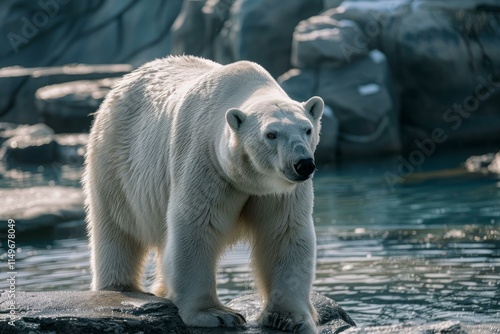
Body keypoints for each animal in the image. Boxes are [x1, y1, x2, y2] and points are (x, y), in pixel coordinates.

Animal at [82, 56, 324, 332]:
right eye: (271, 134)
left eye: (307, 129)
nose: (303, 164)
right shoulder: (205, 162)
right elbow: (197, 227)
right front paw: (216, 314)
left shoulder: (279, 190)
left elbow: (285, 232)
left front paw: (288, 318)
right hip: (115, 160)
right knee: (116, 227)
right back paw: (120, 287)